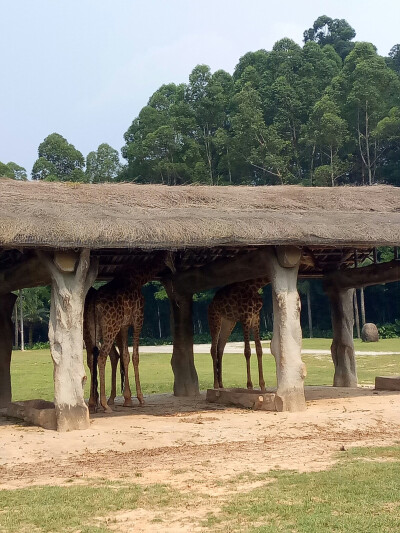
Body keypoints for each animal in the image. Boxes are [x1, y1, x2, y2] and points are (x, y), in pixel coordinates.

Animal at [83, 251, 173, 414]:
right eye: (171, 256)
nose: (173, 269)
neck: (139, 278)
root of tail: (95, 303)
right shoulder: (138, 319)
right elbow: (135, 356)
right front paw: (140, 398)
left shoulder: (123, 325)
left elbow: (125, 356)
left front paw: (127, 399)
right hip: (110, 327)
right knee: (102, 356)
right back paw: (104, 404)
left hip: (93, 329)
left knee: (94, 357)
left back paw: (93, 403)